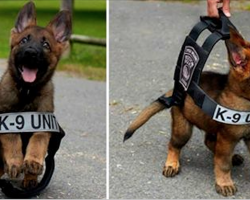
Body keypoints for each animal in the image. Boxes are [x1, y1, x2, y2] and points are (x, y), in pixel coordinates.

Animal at [0, 2, 71, 188]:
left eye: (46, 45)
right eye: (24, 40)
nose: (30, 52)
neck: (26, 91)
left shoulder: (43, 123)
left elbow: (37, 142)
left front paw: (32, 163)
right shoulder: (6, 119)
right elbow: (12, 138)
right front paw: (15, 162)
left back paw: (30, 178)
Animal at [124, 27, 250, 196]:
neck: (242, 96)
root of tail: (177, 90)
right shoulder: (227, 138)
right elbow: (223, 163)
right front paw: (224, 183)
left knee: (209, 142)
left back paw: (232, 156)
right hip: (183, 129)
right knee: (174, 145)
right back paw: (172, 164)